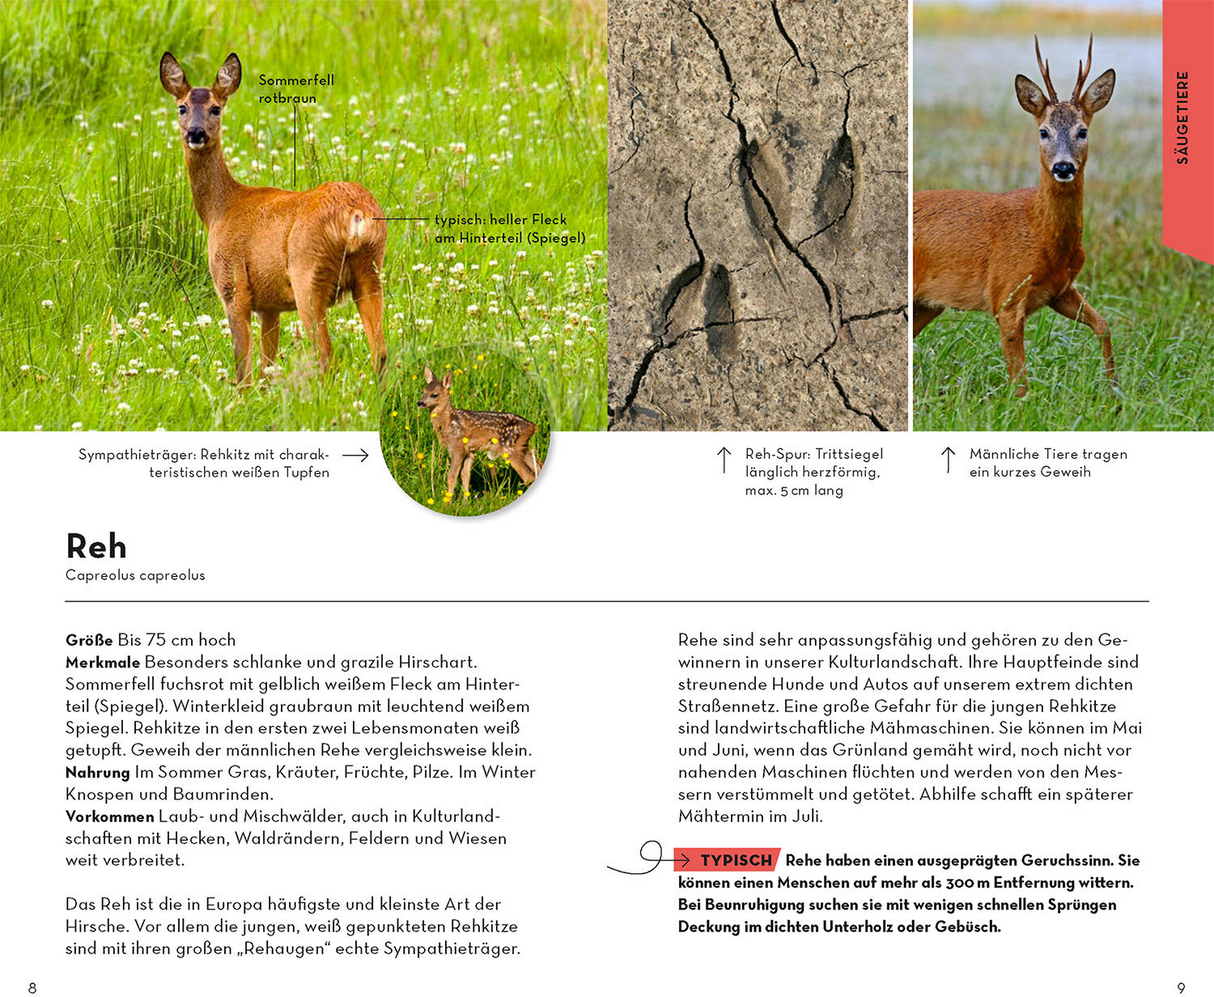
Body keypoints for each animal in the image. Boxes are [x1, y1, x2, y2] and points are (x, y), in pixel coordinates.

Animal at [159, 52, 387, 385]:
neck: (219, 209)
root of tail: (354, 215)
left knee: (326, 356)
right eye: (182, 107)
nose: (196, 133)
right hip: (370, 269)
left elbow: (243, 368)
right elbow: (266, 367)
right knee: (380, 352)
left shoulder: (232, 285)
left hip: (309, 274)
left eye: (216, 108)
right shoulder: (269, 306)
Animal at [416, 366, 543, 497]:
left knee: (529, 477)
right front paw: (465, 500)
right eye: (424, 391)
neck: (448, 422)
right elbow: (465, 475)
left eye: (434, 395)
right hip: (522, 447)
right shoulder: (469, 451)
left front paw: (448, 501)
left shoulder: (457, 448)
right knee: (538, 467)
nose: (419, 403)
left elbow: (452, 476)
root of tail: (532, 426)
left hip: (509, 448)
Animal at [913, 36, 1117, 397]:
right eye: (1044, 132)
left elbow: (1104, 325)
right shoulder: (1006, 295)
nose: (1063, 167)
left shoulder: (1060, 289)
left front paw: (1114, 393)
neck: (1040, 232)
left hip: (927, 304)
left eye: (1082, 131)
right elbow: (1019, 381)